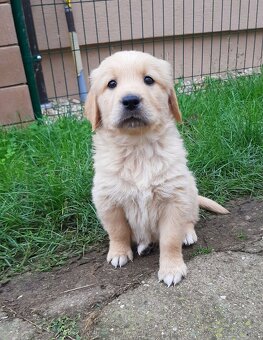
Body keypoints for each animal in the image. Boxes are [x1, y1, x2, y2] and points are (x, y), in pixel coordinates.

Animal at [85, 50, 229, 286]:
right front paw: (118, 253)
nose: (131, 100)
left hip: (189, 188)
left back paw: (186, 234)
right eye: (111, 84)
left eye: (148, 80)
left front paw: (171, 269)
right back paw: (144, 245)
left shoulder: (174, 198)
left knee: (190, 219)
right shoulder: (108, 199)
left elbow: (170, 239)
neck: (137, 148)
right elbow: (117, 231)